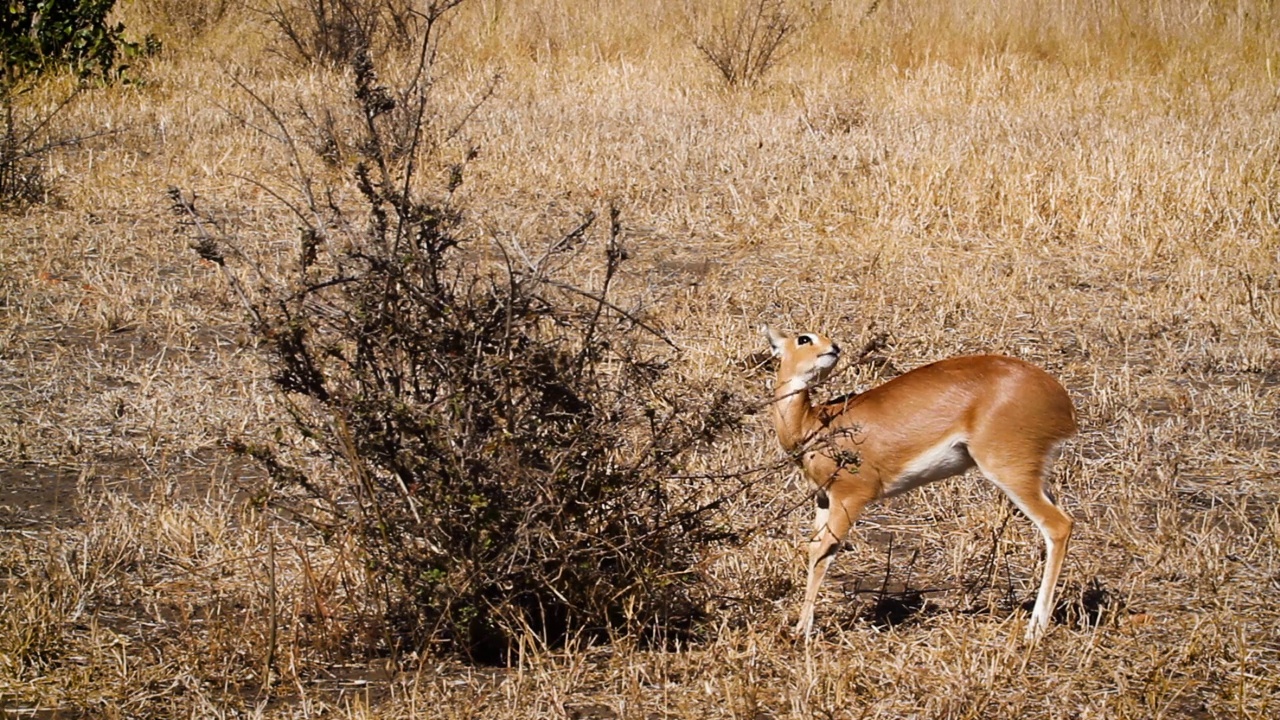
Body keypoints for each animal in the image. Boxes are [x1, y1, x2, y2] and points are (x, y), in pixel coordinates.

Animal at [757, 326, 1080, 638]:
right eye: (804, 338)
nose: (834, 348)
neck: (813, 423)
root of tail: (1061, 398)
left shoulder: (850, 498)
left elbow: (825, 553)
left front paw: (802, 631)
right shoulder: (824, 499)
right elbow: (814, 550)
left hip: (1008, 471)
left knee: (1058, 526)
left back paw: (1034, 631)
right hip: (1034, 476)